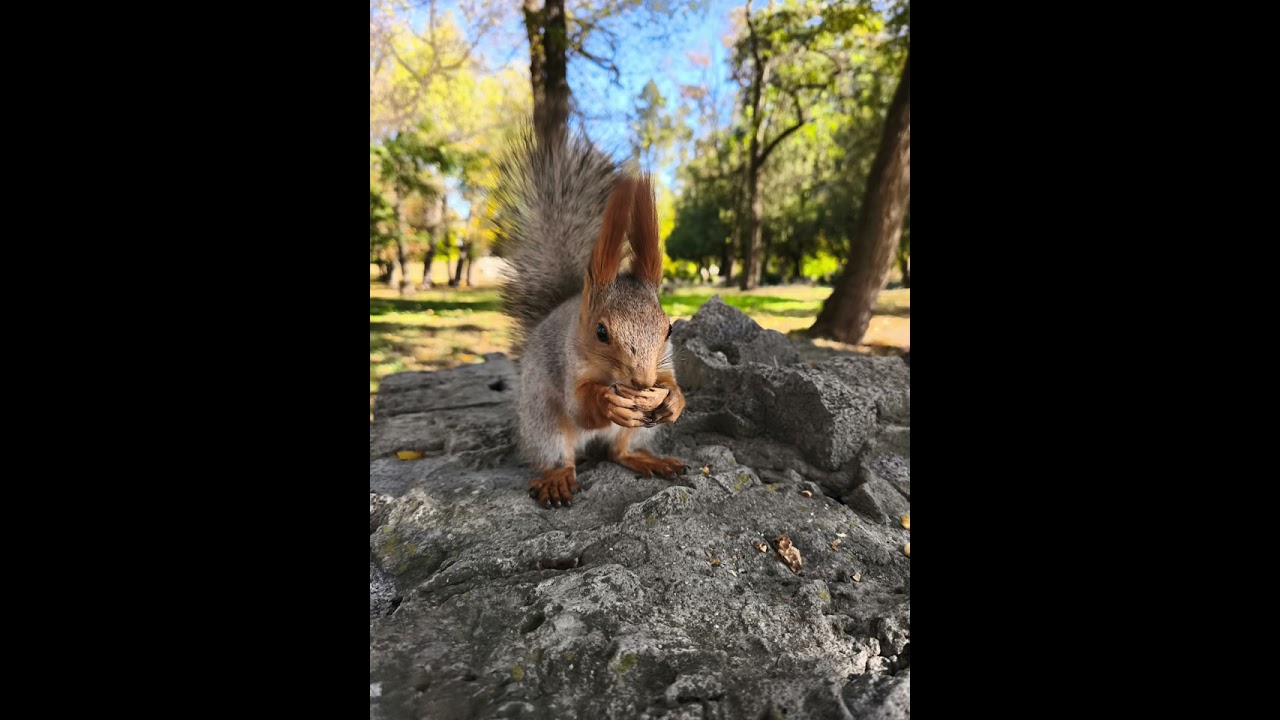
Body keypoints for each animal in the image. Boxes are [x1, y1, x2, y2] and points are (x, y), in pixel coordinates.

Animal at [492, 130, 687, 507]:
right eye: (601, 332)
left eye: (669, 329)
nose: (642, 381)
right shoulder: (571, 365)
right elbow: (580, 408)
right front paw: (606, 400)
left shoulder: (666, 363)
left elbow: (671, 382)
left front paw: (674, 400)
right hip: (544, 421)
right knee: (558, 455)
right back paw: (556, 479)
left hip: (632, 433)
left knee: (618, 453)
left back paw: (648, 460)